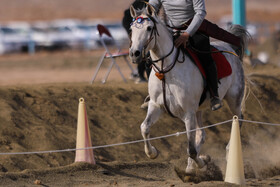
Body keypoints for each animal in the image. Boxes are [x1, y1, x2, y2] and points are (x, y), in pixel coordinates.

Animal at [130, 4, 248, 174]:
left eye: (149, 28)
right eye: (131, 29)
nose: (134, 54)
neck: (166, 71)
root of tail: (229, 47)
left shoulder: (188, 113)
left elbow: (191, 149)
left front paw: (202, 163)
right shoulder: (156, 105)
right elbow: (144, 127)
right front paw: (152, 153)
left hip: (234, 100)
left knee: (238, 120)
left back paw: (227, 154)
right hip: (199, 110)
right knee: (201, 134)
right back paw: (191, 167)